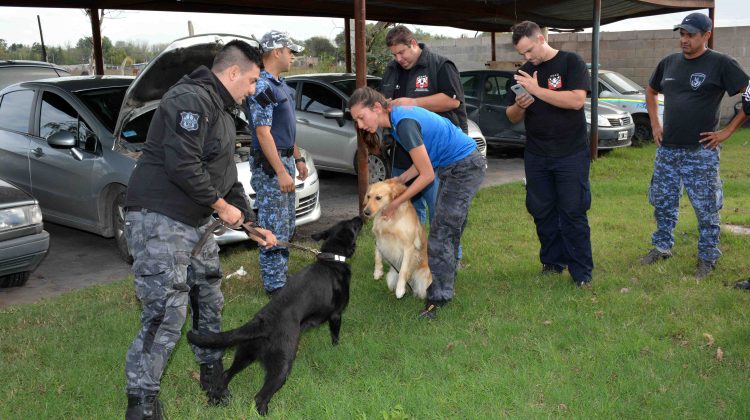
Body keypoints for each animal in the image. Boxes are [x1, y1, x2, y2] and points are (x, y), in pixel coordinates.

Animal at [188, 218, 364, 416]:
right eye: (353, 225)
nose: (361, 217)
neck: (332, 258)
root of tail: (263, 322)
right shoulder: (336, 315)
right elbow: (335, 336)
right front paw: (337, 348)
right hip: (282, 365)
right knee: (260, 396)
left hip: (245, 354)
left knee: (226, 375)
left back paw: (216, 399)